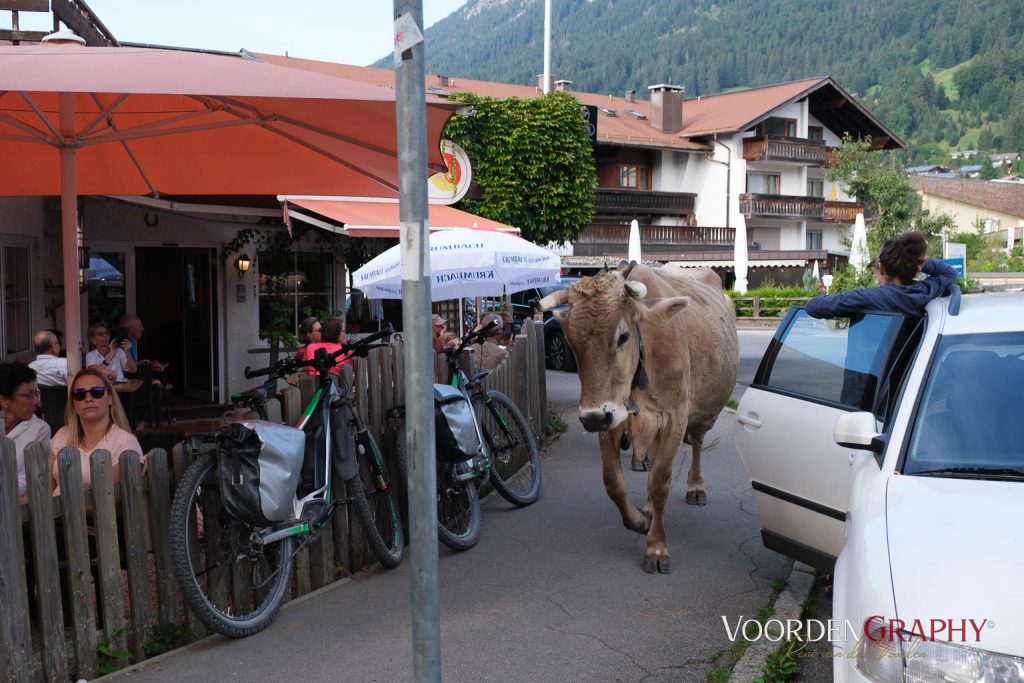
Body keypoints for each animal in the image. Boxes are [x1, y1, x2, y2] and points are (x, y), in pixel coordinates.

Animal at [540, 264, 741, 573]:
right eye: (571, 342)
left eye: (623, 336)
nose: (592, 418)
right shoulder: (611, 419)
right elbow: (613, 483)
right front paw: (641, 521)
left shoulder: (675, 417)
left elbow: (660, 483)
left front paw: (656, 547)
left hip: (699, 415)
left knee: (695, 444)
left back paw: (695, 487)